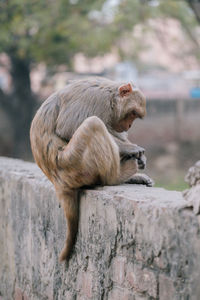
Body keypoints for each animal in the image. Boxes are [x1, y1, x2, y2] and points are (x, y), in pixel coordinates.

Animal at [30, 77, 154, 262]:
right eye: (132, 114)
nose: (130, 125)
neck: (111, 98)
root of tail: (57, 181)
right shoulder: (95, 99)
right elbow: (68, 127)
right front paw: (132, 149)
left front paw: (138, 155)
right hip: (73, 163)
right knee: (92, 124)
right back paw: (119, 175)